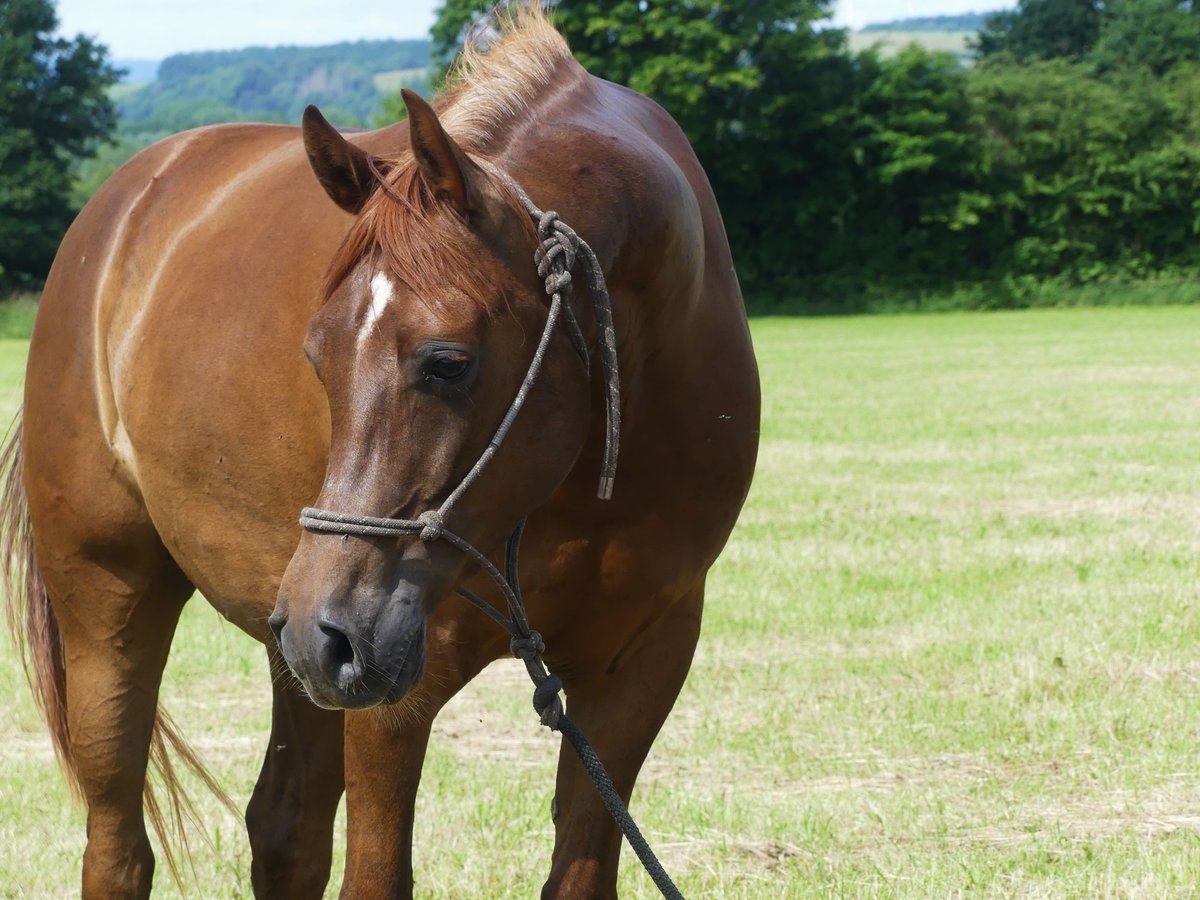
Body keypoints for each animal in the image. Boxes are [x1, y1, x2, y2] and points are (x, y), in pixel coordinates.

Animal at [2, 8, 758, 900]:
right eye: (317, 355)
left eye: (447, 362)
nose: (327, 632)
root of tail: (118, 207)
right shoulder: (396, 689)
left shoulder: (638, 668)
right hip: (125, 607)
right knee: (118, 848)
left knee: (284, 832)